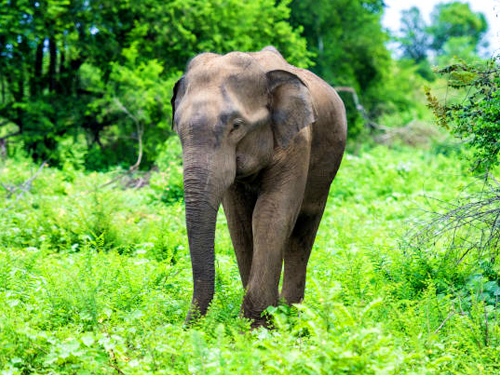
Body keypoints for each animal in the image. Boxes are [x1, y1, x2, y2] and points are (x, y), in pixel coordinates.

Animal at [170, 46, 346, 328]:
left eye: (236, 126)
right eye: (178, 129)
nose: (186, 329)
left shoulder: (297, 141)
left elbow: (269, 214)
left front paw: (255, 328)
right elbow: (240, 221)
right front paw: (260, 321)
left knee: (304, 228)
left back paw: (292, 314)